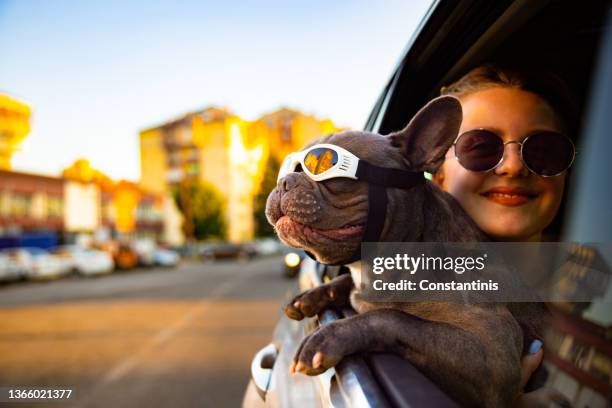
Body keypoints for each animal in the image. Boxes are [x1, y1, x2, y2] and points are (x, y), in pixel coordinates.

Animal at [266, 96, 548, 408]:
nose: (283, 181)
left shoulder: (493, 353)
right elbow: (347, 286)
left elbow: (391, 317)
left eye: (324, 166)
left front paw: (327, 337)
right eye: (290, 169)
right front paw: (309, 297)